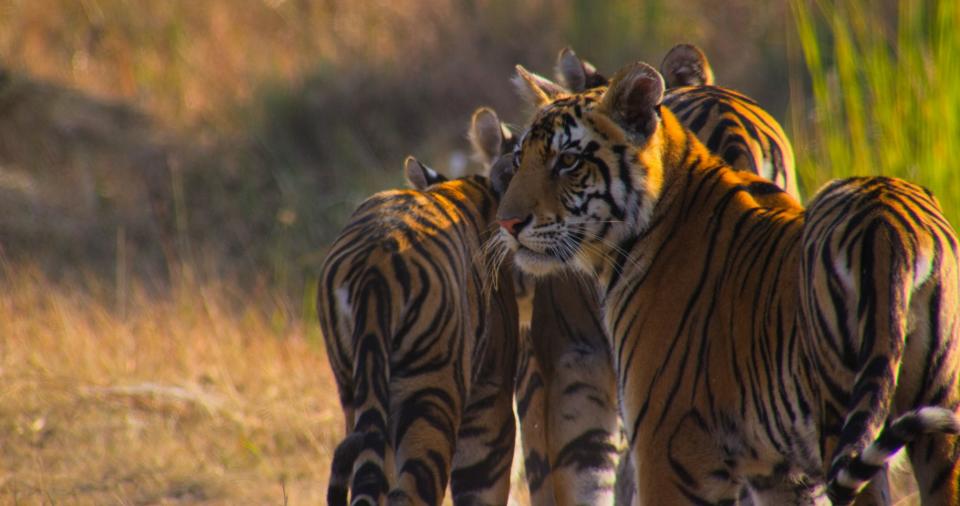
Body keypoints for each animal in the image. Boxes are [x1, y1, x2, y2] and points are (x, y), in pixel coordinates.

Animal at [496, 61, 960, 504]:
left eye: (567, 161)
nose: (508, 223)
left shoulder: (669, 450)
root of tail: (888, 226)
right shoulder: (779, 476)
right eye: (521, 159)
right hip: (940, 425)